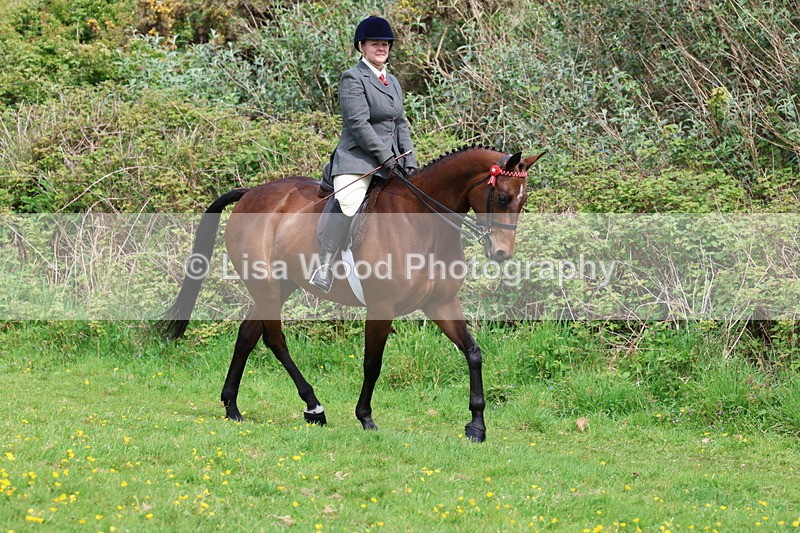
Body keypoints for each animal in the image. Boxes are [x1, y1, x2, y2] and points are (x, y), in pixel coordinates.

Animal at [160, 145, 545, 442]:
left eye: (522, 202)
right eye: (503, 197)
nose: (501, 253)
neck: (422, 224)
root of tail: (253, 192)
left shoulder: (440, 303)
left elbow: (473, 353)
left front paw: (476, 426)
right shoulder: (381, 306)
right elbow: (373, 363)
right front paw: (365, 416)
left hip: (279, 286)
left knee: (248, 334)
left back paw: (232, 406)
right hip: (267, 286)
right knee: (275, 340)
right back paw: (313, 406)